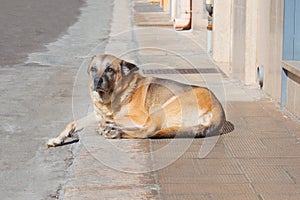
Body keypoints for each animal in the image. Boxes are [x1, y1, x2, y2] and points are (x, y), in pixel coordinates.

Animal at [46, 54, 225, 147]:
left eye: (110, 69)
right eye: (93, 69)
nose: (97, 81)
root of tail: (218, 111)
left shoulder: (139, 116)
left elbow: (116, 120)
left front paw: (109, 125)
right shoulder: (97, 115)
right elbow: (73, 123)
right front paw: (58, 138)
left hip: (158, 109)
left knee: (147, 131)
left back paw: (114, 131)